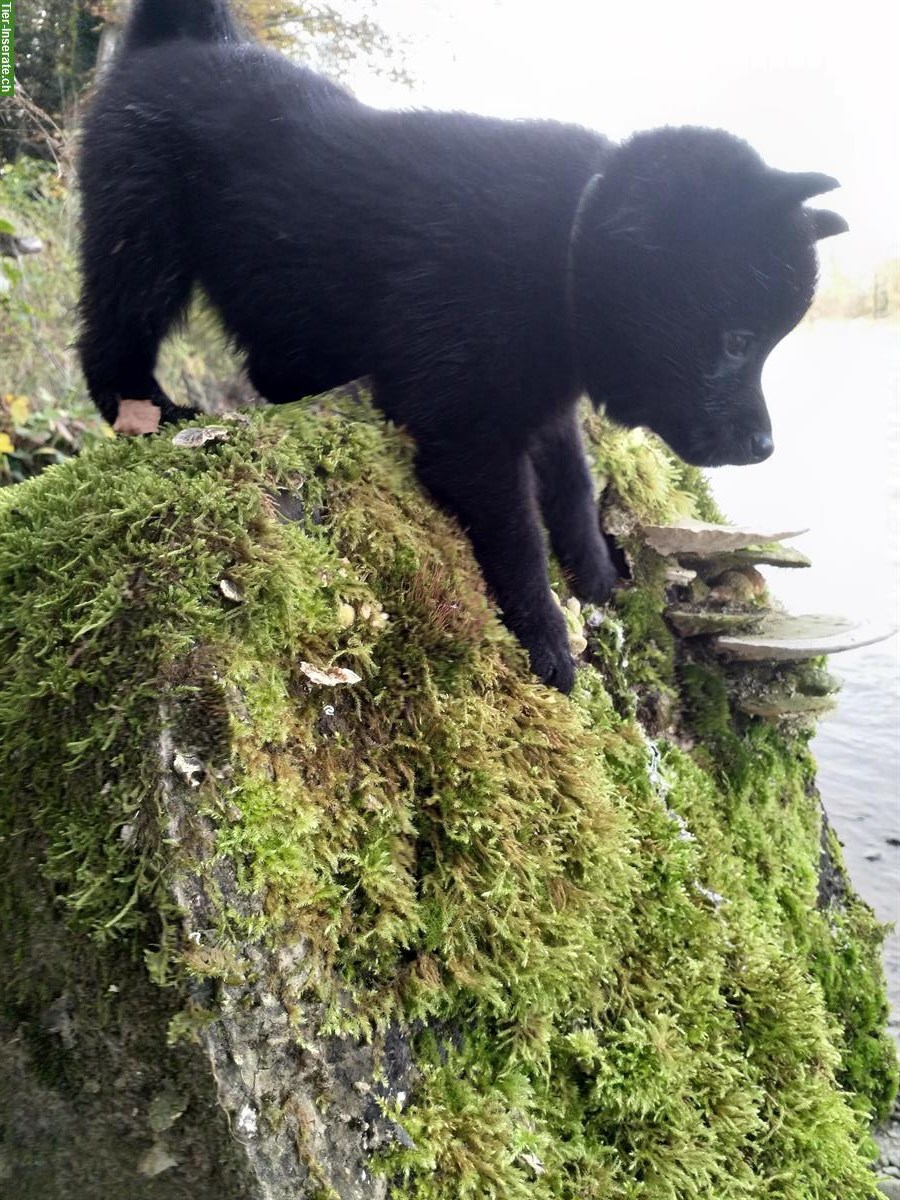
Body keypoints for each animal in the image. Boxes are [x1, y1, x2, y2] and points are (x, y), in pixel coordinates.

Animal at [77, 0, 844, 691]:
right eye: (738, 342)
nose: (764, 447)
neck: (562, 247)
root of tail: (183, 42)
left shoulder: (542, 400)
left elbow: (572, 481)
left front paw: (595, 570)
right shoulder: (466, 428)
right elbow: (518, 535)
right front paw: (546, 638)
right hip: (140, 235)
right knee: (110, 333)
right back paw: (148, 410)